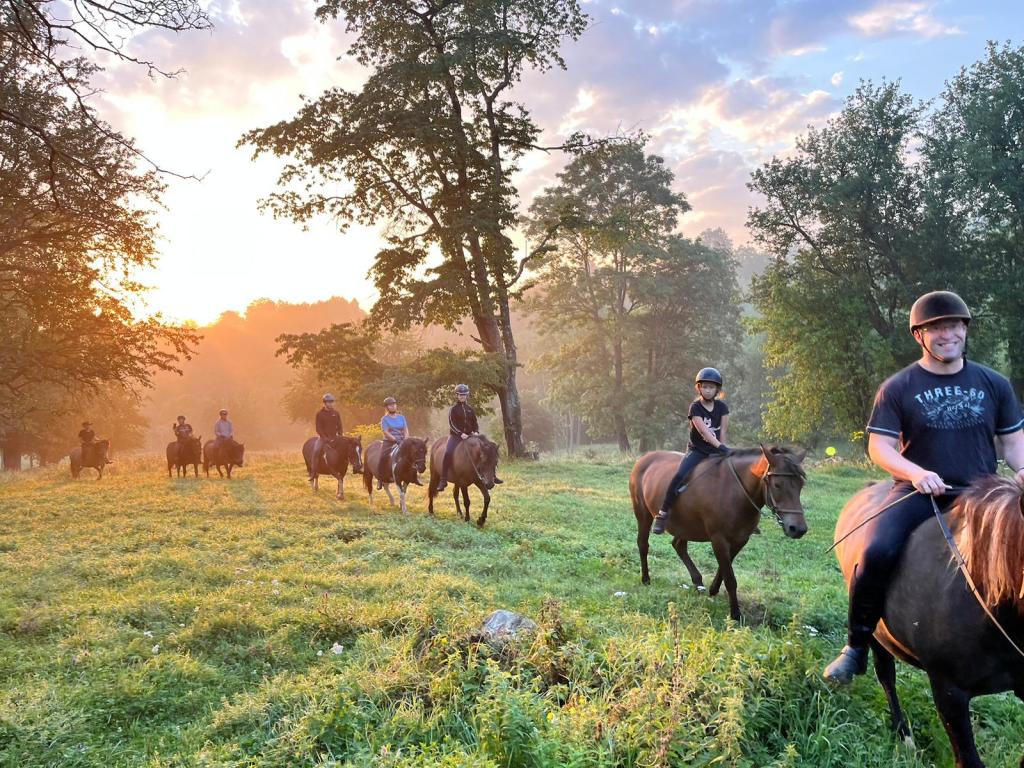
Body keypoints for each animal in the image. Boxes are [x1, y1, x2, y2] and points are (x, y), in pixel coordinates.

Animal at [630, 448, 806, 622]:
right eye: (777, 485)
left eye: (801, 485)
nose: (798, 529)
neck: (736, 491)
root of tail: (644, 459)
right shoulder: (719, 539)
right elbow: (730, 578)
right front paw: (735, 614)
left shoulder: (740, 540)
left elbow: (724, 569)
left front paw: (713, 589)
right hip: (643, 514)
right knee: (643, 544)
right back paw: (646, 579)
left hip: (685, 525)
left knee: (679, 546)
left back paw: (698, 582)